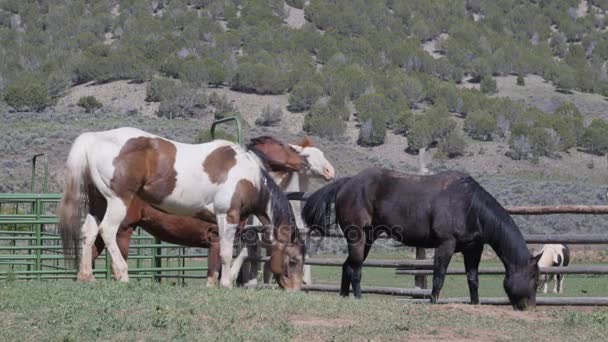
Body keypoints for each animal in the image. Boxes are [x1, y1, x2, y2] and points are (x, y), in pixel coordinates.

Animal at [58, 127, 304, 288]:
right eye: (293, 260)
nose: (295, 288)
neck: (249, 176)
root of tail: (94, 139)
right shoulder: (227, 216)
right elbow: (225, 254)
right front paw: (225, 284)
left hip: (99, 205)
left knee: (88, 233)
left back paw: (87, 276)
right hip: (118, 203)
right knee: (107, 231)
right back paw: (123, 275)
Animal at [304, 168, 540, 310]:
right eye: (535, 279)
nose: (530, 307)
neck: (470, 206)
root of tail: (346, 183)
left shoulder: (473, 249)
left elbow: (473, 279)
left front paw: (475, 304)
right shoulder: (446, 244)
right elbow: (439, 276)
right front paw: (433, 301)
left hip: (368, 238)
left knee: (348, 266)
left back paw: (344, 297)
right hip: (358, 237)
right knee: (355, 269)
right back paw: (359, 297)